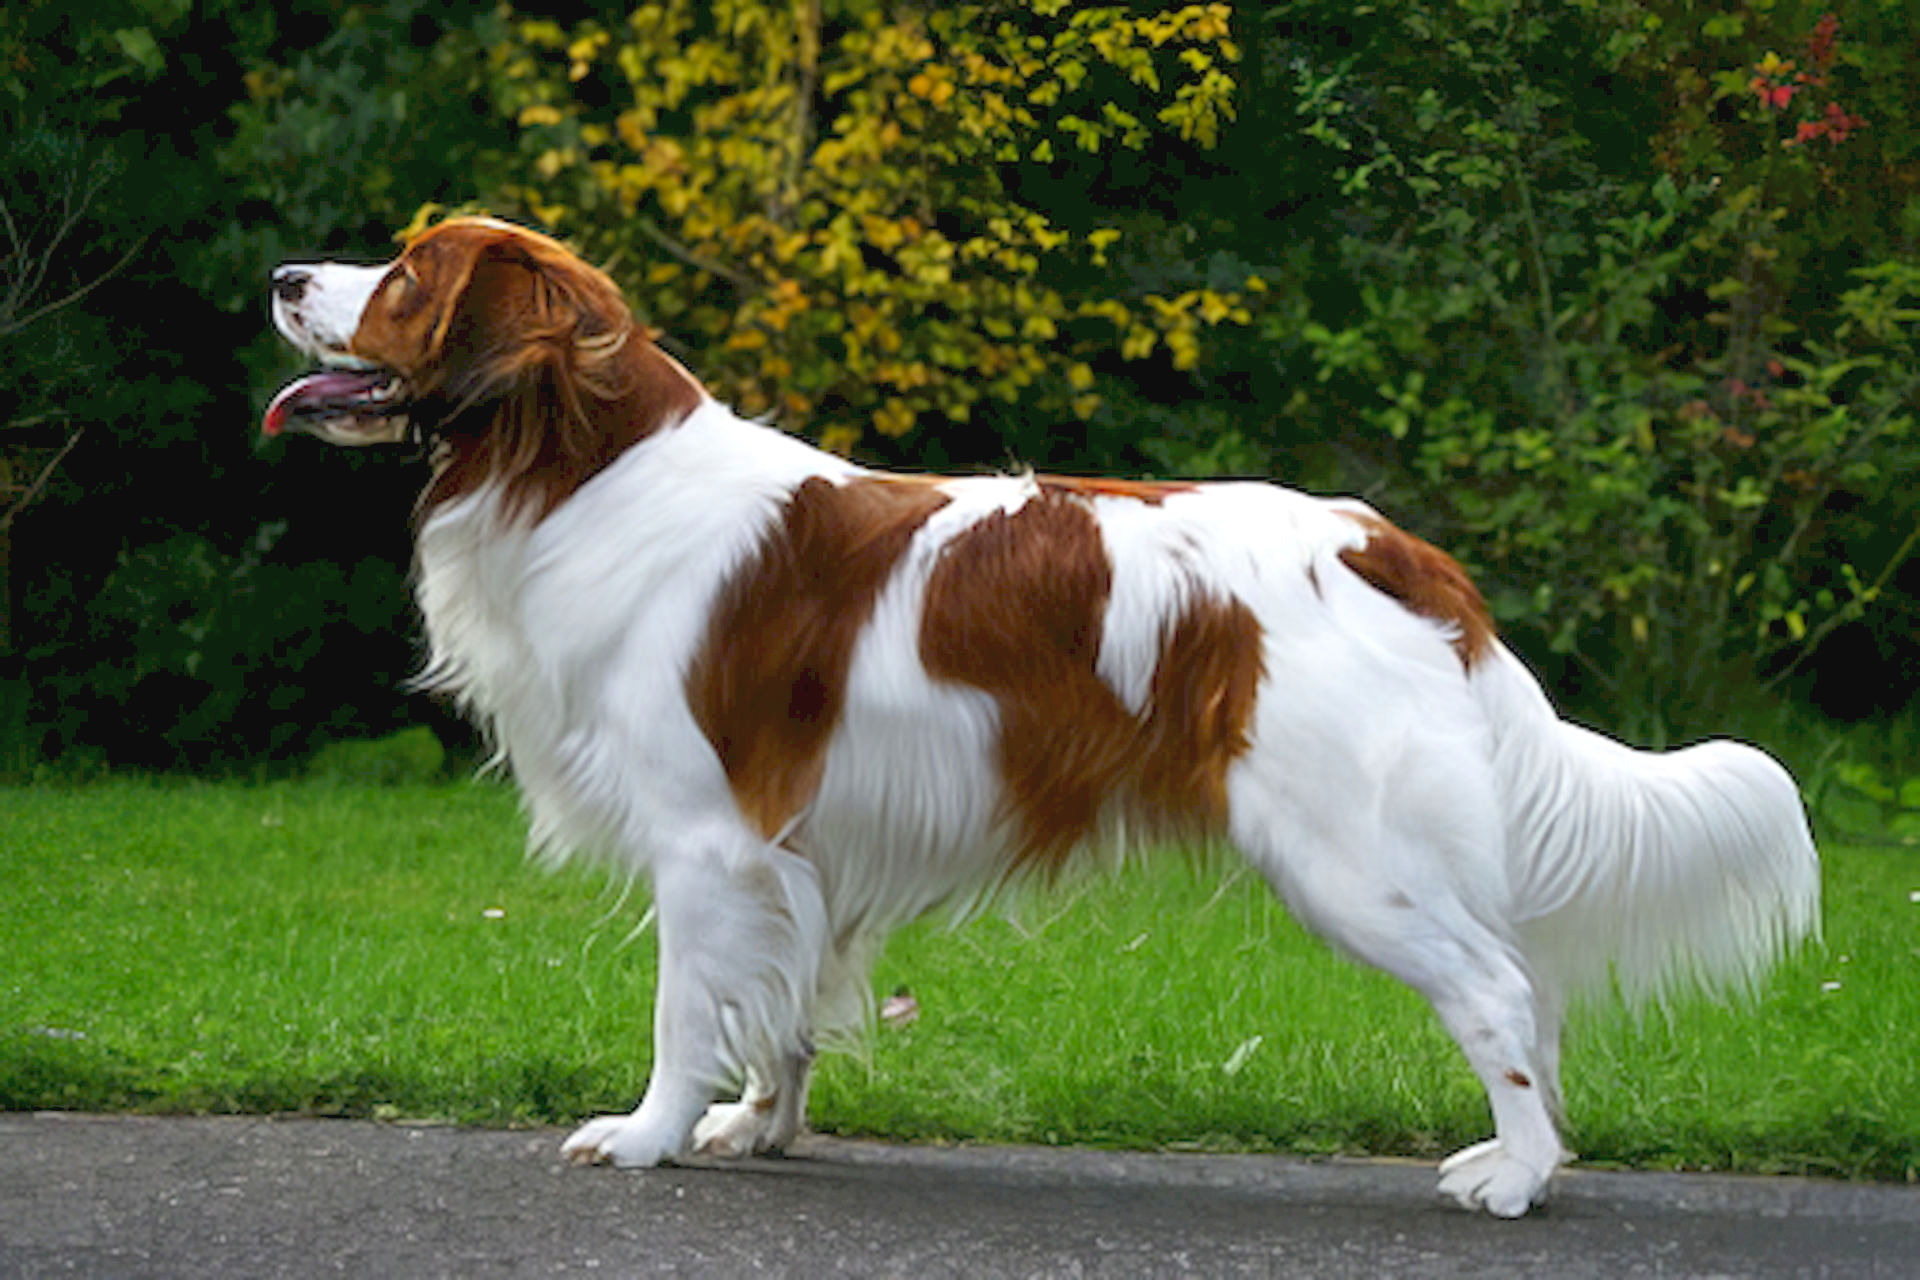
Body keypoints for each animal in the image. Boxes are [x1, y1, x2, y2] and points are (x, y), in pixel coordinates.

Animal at [266, 214, 1812, 1220]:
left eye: (406, 275)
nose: (283, 275)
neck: (588, 472)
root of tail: (1390, 543)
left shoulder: (705, 838)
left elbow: (684, 1005)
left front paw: (648, 1135)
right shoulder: (796, 853)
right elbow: (782, 1011)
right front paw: (758, 1125)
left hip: (1350, 860)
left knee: (1498, 990)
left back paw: (1518, 1176)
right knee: (1522, 988)